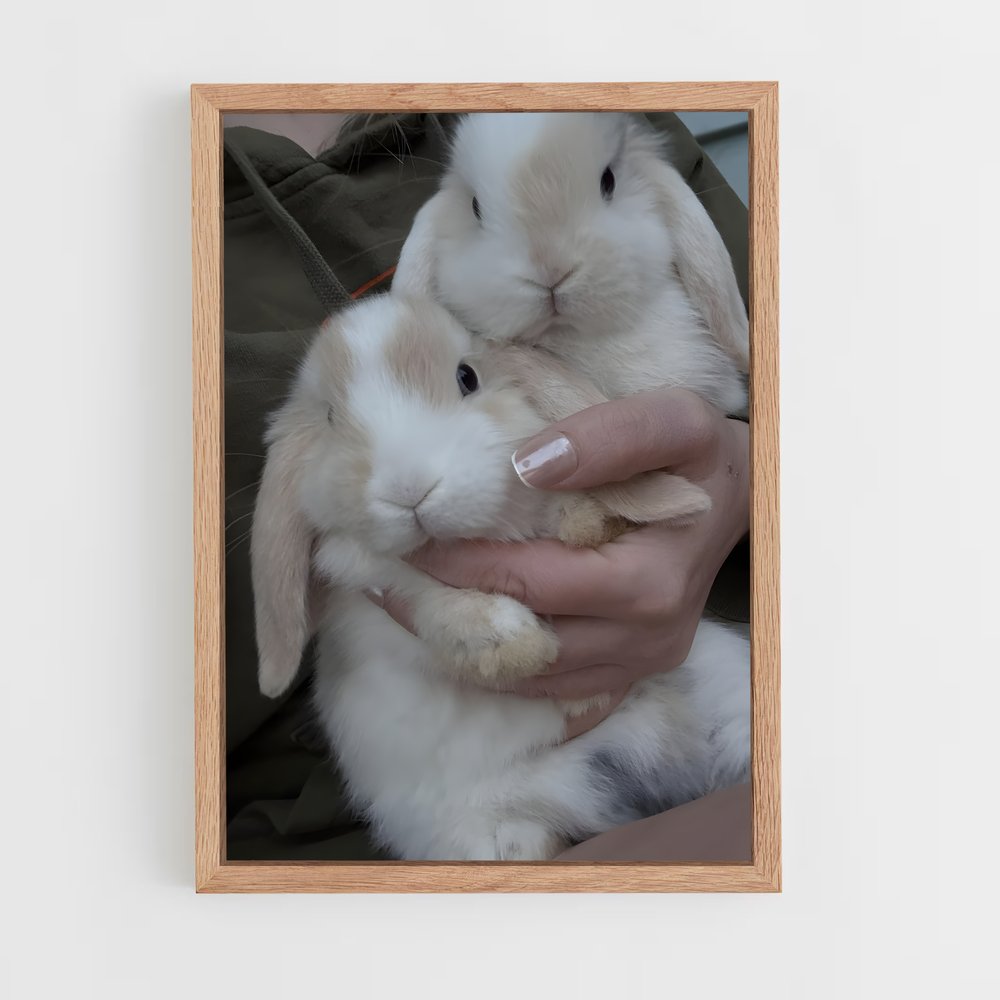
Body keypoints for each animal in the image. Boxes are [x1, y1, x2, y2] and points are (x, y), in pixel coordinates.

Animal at [250, 292, 750, 860]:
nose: (408, 488)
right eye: (332, 416)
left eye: (467, 377)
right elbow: (431, 601)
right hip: (488, 837)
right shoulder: (377, 580)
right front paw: (516, 646)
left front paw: (589, 523)